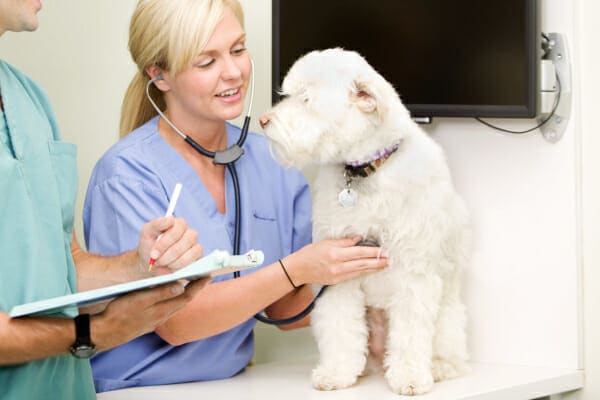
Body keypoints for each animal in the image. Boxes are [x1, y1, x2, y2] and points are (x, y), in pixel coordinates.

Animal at [260, 48, 472, 396]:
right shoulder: (338, 274)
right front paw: (336, 373)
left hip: (448, 318)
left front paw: (410, 377)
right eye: (288, 94)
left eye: (306, 98)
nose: (264, 121)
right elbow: (340, 328)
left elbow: (411, 334)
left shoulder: (414, 274)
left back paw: (439, 367)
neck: (364, 173)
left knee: (448, 352)